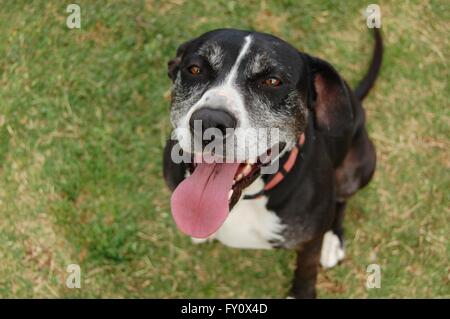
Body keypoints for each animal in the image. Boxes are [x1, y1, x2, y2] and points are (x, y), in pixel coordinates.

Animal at [163, 28, 382, 300]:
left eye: (272, 81)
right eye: (194, 69)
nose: (209, 121)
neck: (247, 197)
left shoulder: (309, 241)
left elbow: (306, 271)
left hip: (359, 166)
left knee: (341, 201)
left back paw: (333, 239)